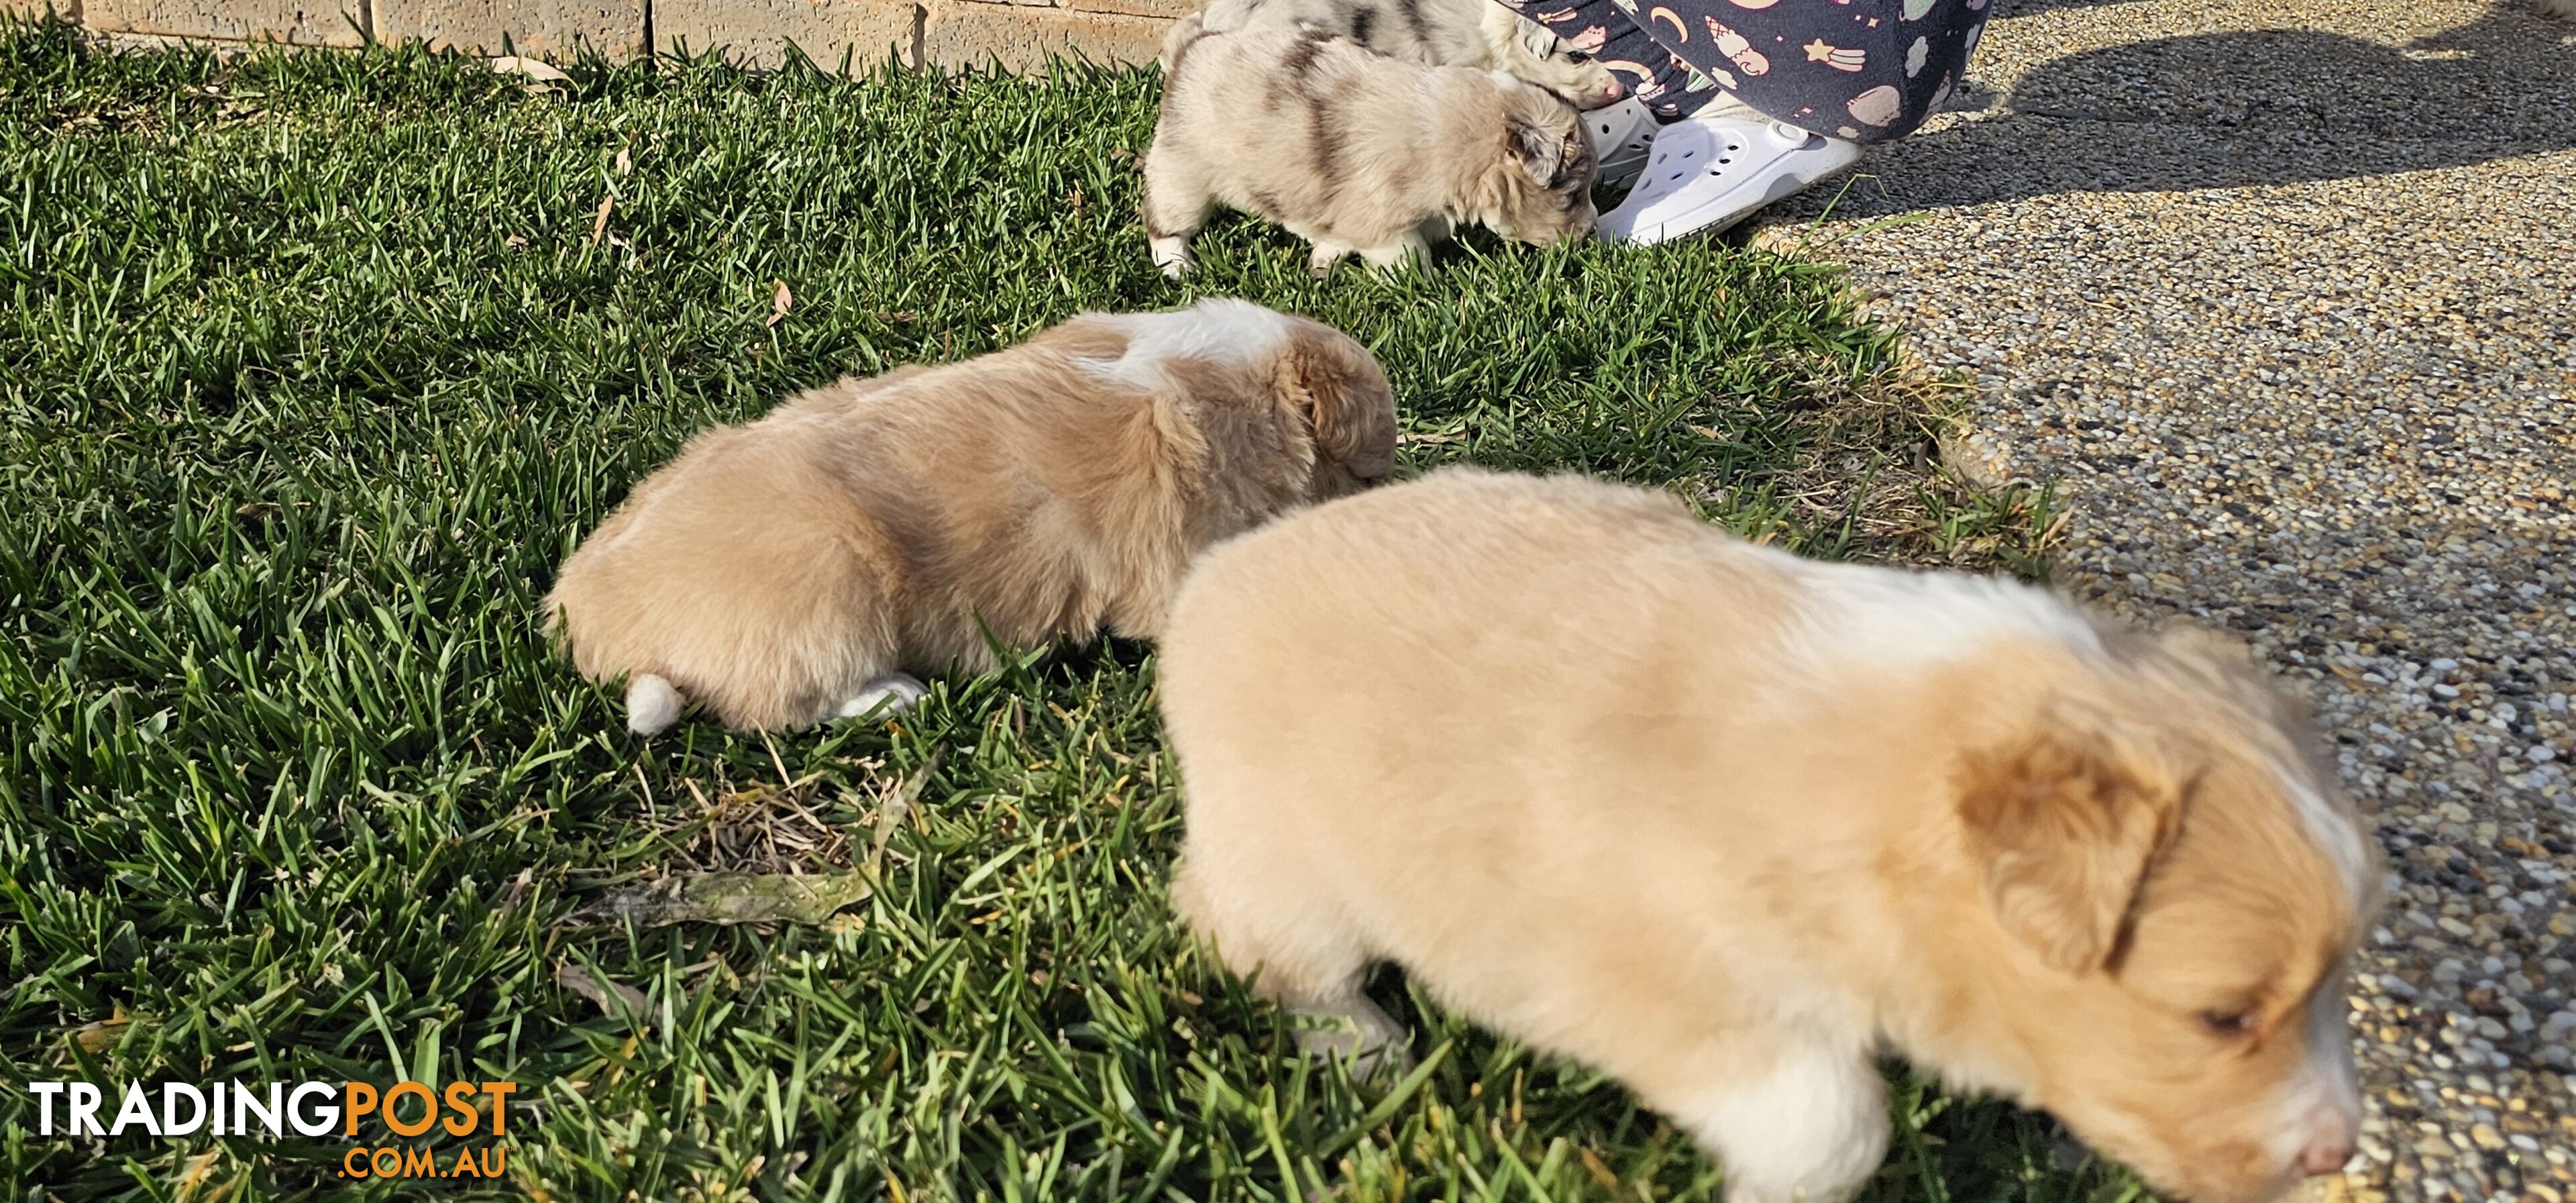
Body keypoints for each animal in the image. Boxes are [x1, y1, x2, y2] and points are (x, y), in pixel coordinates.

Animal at [1143, 19, 1587, 279]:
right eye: (1573, 197)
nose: (1586, 235)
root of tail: (1190, 46)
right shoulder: (1384, 225)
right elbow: (1411, 257)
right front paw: (1427, 288)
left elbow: (1335, 236)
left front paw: (1323, 262)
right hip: (1184, 175)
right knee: (1164, 224)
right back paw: (1179, 268)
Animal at [1159, 468, 2380, 1203]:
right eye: (2222, 1016)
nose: (2339, 1151)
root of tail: (1214, 574)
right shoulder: (1665, 979)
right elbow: (1829, 1120)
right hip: (1285, 862)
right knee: (1253, 943)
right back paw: (1363, 1047)